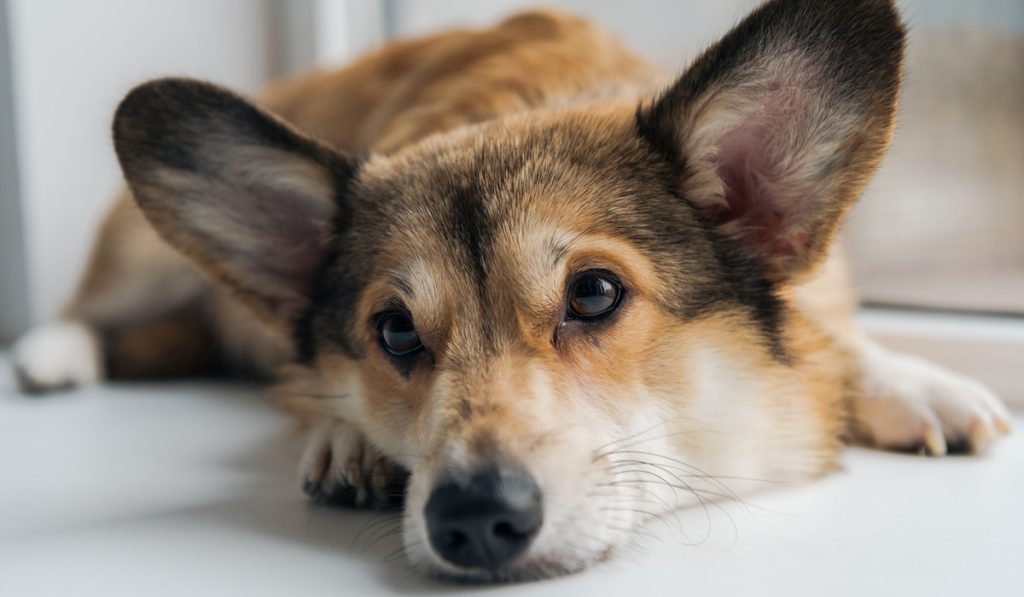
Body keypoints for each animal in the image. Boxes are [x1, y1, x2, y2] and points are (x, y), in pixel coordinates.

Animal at [12, 0, 1011, 585]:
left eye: (596, 293)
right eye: (395, 331)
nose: (474, 520)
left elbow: (840, 336)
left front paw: (917, 383)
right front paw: (351, 438)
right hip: (137, 258)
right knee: (84, 307)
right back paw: (48, 356)